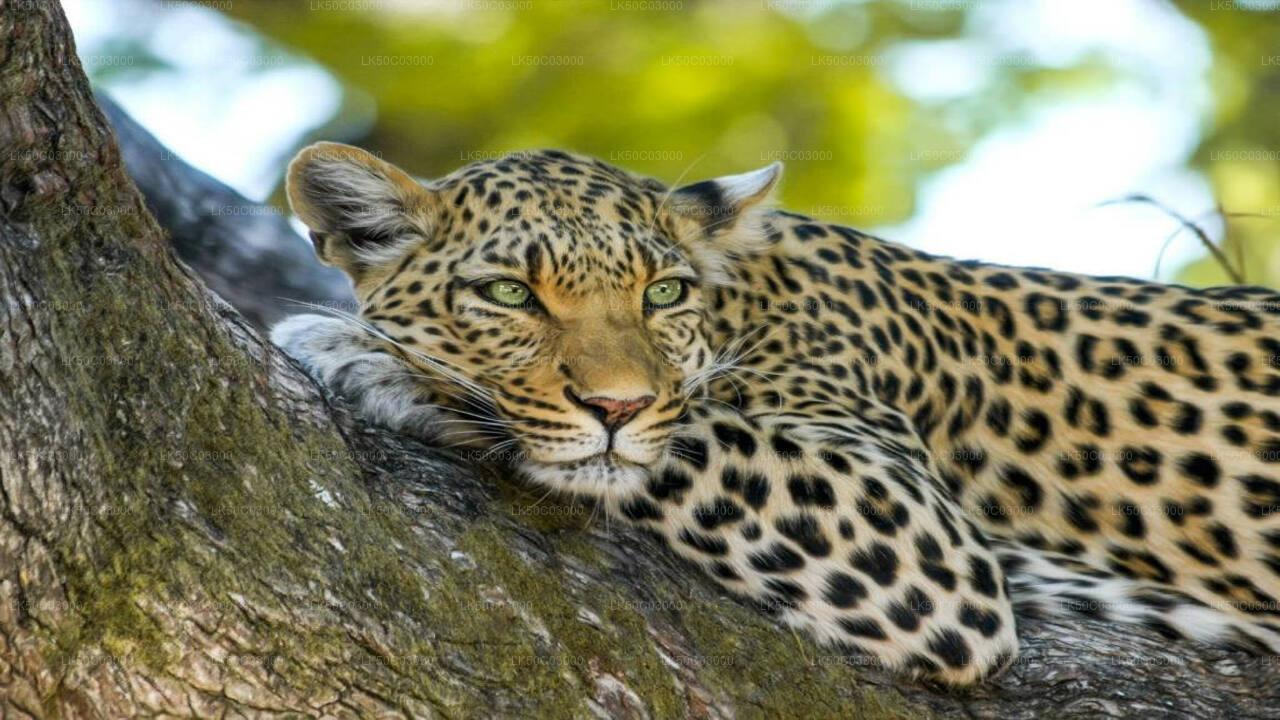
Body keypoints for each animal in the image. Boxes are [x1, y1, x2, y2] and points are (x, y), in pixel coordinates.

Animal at [271, 141, 1280, 686]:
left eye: (663, 292)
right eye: (510, 294)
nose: (616, 403)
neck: (745, 301)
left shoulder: (918, 537)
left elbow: (687, 436)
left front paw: (374, 357)